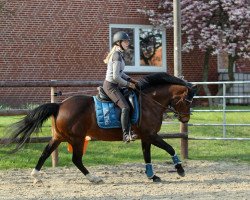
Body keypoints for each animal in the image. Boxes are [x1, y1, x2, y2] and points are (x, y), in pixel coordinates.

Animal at [2, 72, 196, 184]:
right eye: (187, 101)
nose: (186, 119)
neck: (150, 102)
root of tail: (59, 105)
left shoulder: (146, 137)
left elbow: (147, 155)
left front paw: (152, 176)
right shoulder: (151, 135)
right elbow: (170, 148)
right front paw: (180, 170)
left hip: (59, 137)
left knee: (45, 152)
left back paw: (35, 176)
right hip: (77, 139)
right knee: (76, 160)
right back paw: (94, 178)